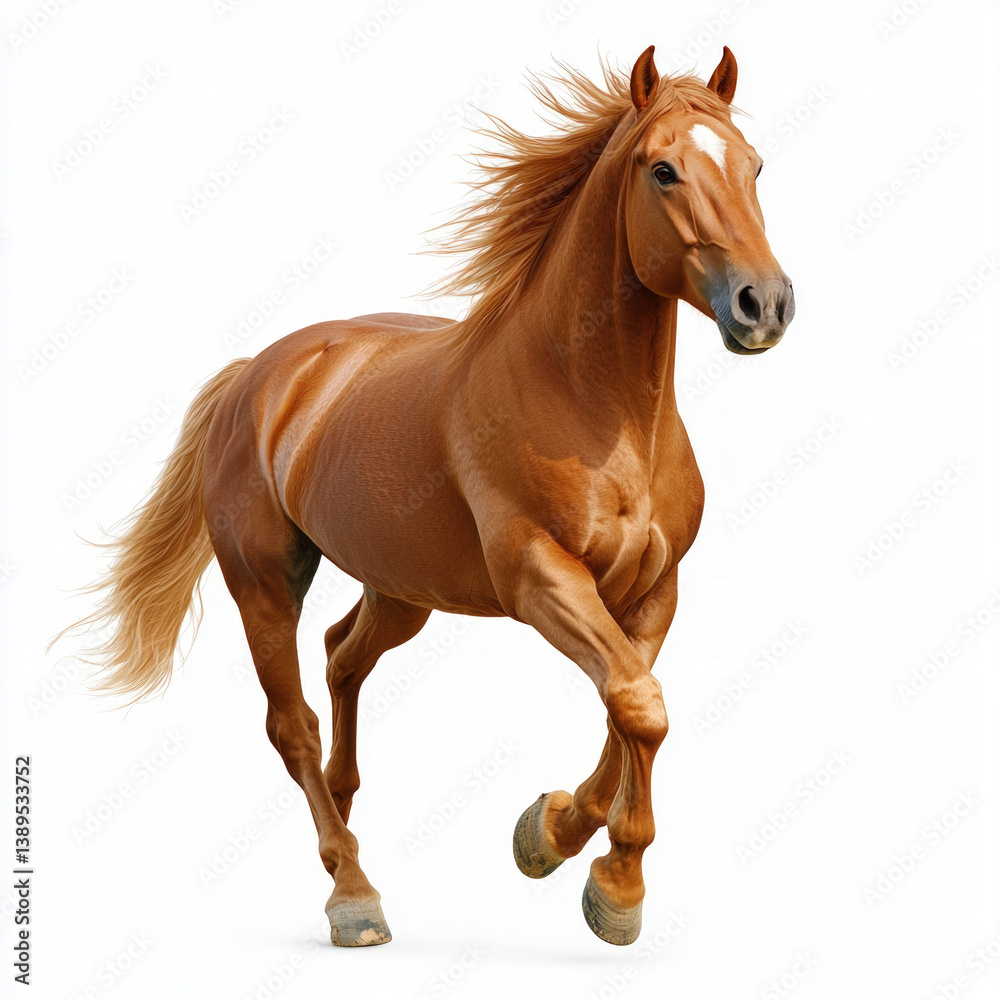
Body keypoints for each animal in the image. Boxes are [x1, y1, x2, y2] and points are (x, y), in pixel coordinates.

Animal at [68, 44, 794, 947]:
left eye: (755, 166)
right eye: (663, 170)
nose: (764, 305)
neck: (595, 407)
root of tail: (258, 375)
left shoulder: (654, 591)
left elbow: (628, 711)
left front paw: (554, 839)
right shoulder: (541, 580)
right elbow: (639, 705)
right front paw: (614, 886)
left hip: (403, 589)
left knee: (342, 656)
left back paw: (343, 817)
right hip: (265, 585)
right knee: (291, 724)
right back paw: (352, 893)